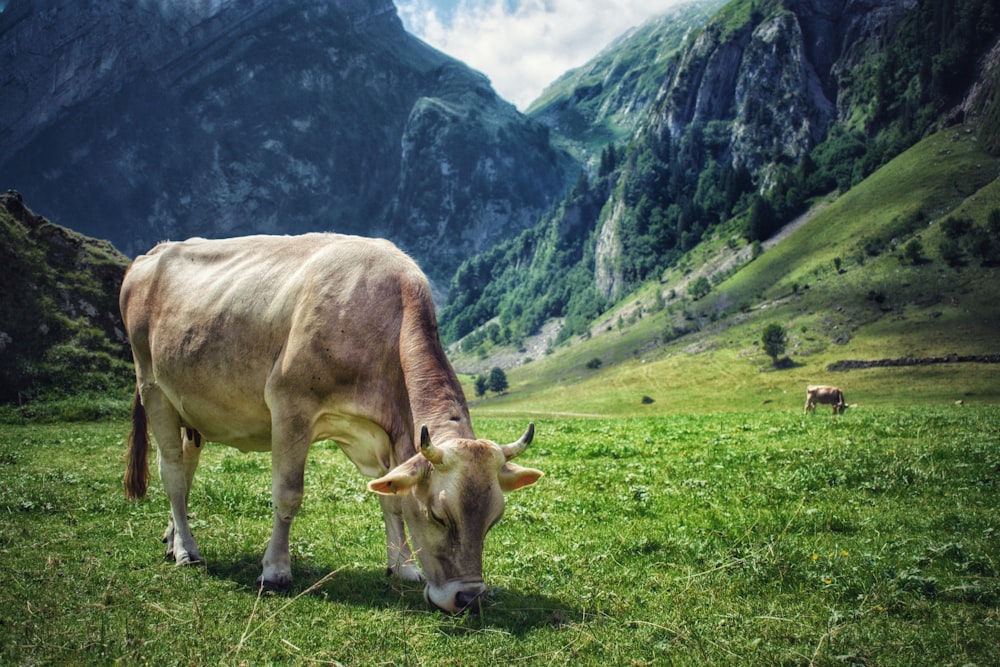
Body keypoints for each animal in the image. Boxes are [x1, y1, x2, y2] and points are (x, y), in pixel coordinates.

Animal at [120, 235, 544, 616]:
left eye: (494, 519)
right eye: (440, 516)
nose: (469, 599)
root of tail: (151, 253)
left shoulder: (380, 436)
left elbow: (393, 500)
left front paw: (404, 566)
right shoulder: (290, 409)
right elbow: (288, 494)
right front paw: (275, 571)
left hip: (190, 408)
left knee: (186, 466)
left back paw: (172, 537)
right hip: (152, 386)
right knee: (172, 472)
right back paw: (187, 550)